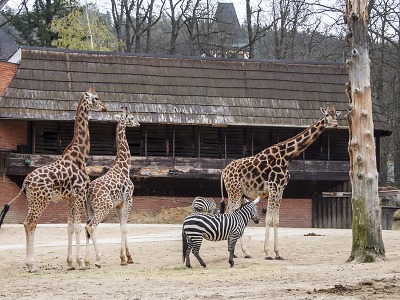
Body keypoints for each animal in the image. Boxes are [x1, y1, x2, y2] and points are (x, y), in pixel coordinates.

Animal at [5, 84, 106, 272]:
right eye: (95, 98)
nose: (105, 107)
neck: (81, 156)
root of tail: (26, 182)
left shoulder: (70, 198)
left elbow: (69, 227)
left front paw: (71, 263)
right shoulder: (79, 194)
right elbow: (78, 227)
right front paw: (81, 262)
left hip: (32, 201)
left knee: (26, 223)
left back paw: (29, 263)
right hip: (41, 201)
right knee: (30, 223)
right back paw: (32, 265)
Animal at [85, 107, 140, 268]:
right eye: (131, 117)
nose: (139, 123)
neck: (125, 167)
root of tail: (88, 193)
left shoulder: (118, 204)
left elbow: (122, 227)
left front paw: (128, 257)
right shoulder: (128, 199)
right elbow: (124, 228)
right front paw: (123, 258)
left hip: (90, 209)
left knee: (86, 228)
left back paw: (86, 261)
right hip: (104, 207)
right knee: (91, 227)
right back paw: (98, 260)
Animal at [220, 105, 340, 260]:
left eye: (336, 114)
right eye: (326, 115)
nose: (336, 124)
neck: (286, 157)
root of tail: (223, 172)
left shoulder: (281, 189)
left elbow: (276, 219)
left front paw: (278, 253)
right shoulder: (273, 187)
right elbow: (269, 219)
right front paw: (267, 253)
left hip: (235, 192)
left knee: (229, 212)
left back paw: (232, 251)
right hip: (235, 191)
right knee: (233, 214)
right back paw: (245, 252)